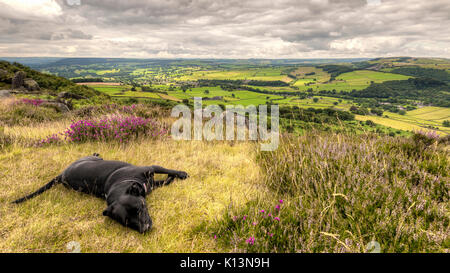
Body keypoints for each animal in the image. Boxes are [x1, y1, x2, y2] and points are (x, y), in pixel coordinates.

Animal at [12, 153, 188, 232]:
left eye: (140, 209)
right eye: (126, 222)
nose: (145, 229)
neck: (122, 182)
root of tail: (61, 174)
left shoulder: (151, 168)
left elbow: (167, 170)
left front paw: (180, 174)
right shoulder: (148, 183)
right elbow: (164, 180)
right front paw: (172, 178)